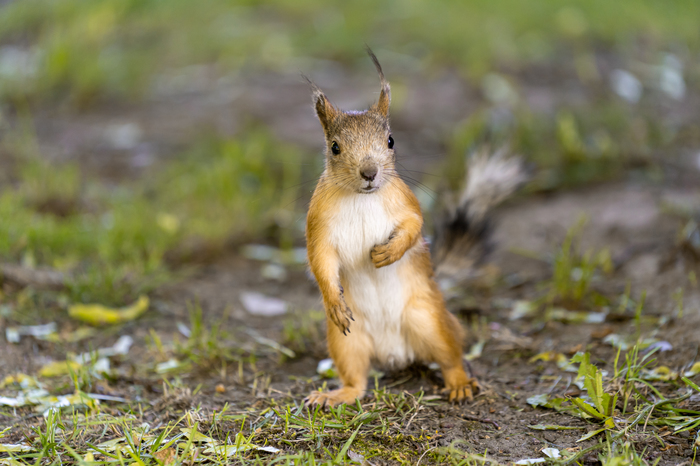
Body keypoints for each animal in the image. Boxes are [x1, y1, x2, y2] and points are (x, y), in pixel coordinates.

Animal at [304, 49, 524, 406]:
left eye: (391, 140)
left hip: (430, 321)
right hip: (346, 341)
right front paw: (334, 302)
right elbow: (320, 261)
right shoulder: (318, 225)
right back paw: (335, 395)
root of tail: (395, 353)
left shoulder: (406, 203)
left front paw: (387, 253)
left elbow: (413, 227)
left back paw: (460, 383)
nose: (369, 172)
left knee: (451, 356)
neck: (362, 198)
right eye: (335, 147)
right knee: (357, 380)